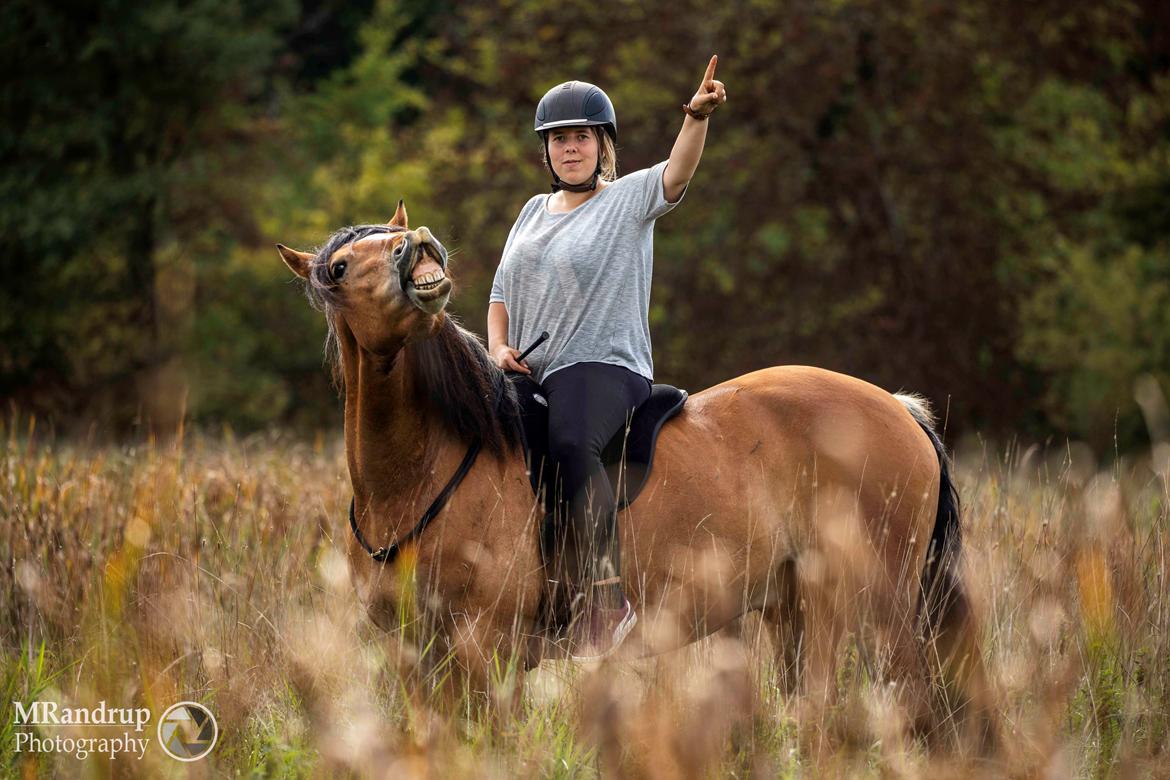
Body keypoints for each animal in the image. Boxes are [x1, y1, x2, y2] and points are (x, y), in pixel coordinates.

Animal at [278, 203, 992, 743]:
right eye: (340, 266)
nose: (416, 247)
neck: (420, 473)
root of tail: (899, 410)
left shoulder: (488, 645)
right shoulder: (412, 653)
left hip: (860, 608)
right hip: (792, 610)